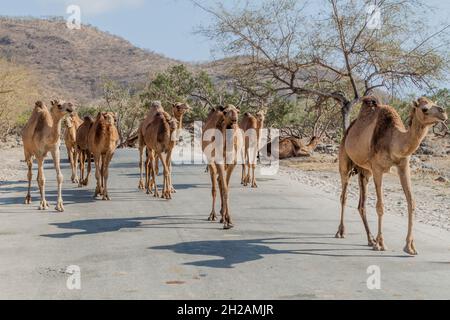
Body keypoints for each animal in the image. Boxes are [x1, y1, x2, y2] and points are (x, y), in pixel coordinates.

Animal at [336, 95, 448, 255]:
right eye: (424, 109)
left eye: (435, 103)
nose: (443, 112)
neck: (393, 141)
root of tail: (348, 131)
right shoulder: (377, 169)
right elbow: (380, 206)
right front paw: (381, 244)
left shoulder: (404, 166)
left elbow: (411, 203)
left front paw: (410, 247)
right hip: (345, 161)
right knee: (344, 196)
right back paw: (341, 232)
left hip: (365, 172)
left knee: (361, 205)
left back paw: (370, 239)